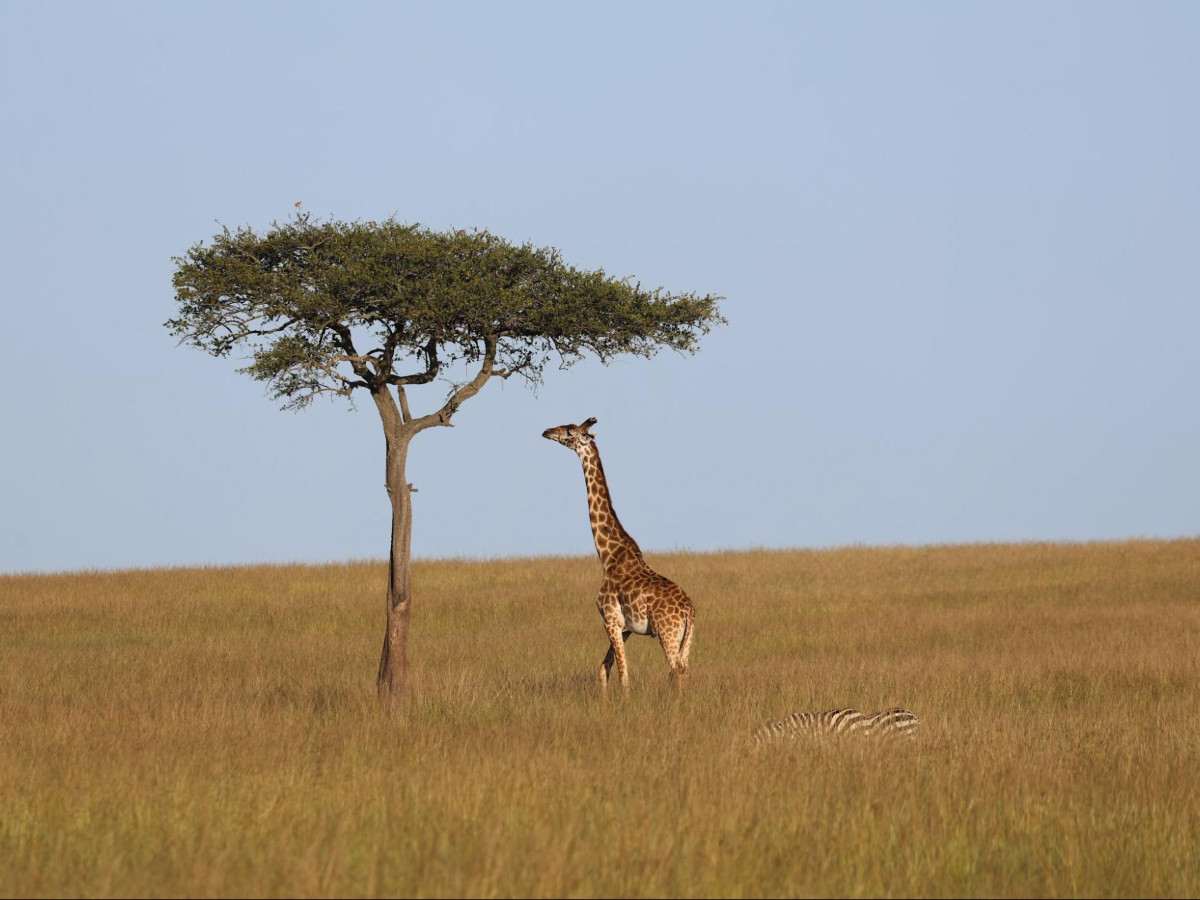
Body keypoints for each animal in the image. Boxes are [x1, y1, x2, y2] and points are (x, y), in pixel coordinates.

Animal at [542, 417, 695, 692]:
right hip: (686, 638)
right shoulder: (626, 628)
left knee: (675, 669)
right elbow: (604, 668)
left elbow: (624, 674)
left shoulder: (610, 619)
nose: (546, 432)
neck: (608, 555)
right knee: (684, 669)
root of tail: (689, 611)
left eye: (569, 431)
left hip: (667, 633)